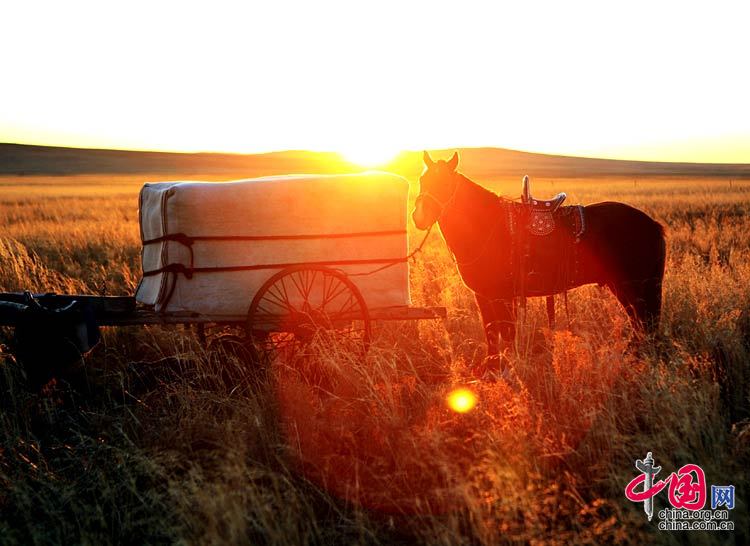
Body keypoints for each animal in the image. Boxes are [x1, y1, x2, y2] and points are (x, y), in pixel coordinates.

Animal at [414, 151, 668, 368]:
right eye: (422, 180)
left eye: (445, 184)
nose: (419, 217)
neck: (488, 225)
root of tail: (652, 224)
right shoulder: (484, 296)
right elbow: (491, 333)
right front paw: (492, 368)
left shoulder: (501, 296)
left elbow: (504, 333)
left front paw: (505, 370)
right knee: (641, 324)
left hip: (632, 287)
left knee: (643, 323)